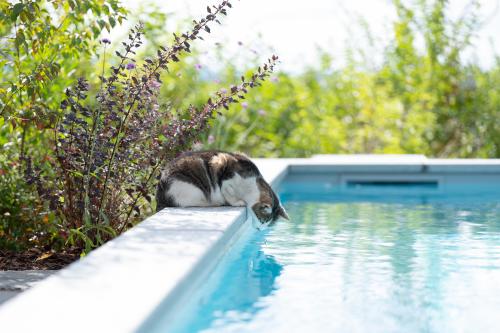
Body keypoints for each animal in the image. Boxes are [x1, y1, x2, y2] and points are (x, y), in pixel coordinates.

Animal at [156, 150, 290, 226]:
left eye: (266, 225)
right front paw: (237, 202)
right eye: (262, 221)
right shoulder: (224, 169)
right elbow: (228, 192)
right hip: (190, 189)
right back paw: (216, 202)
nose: (259, 229)